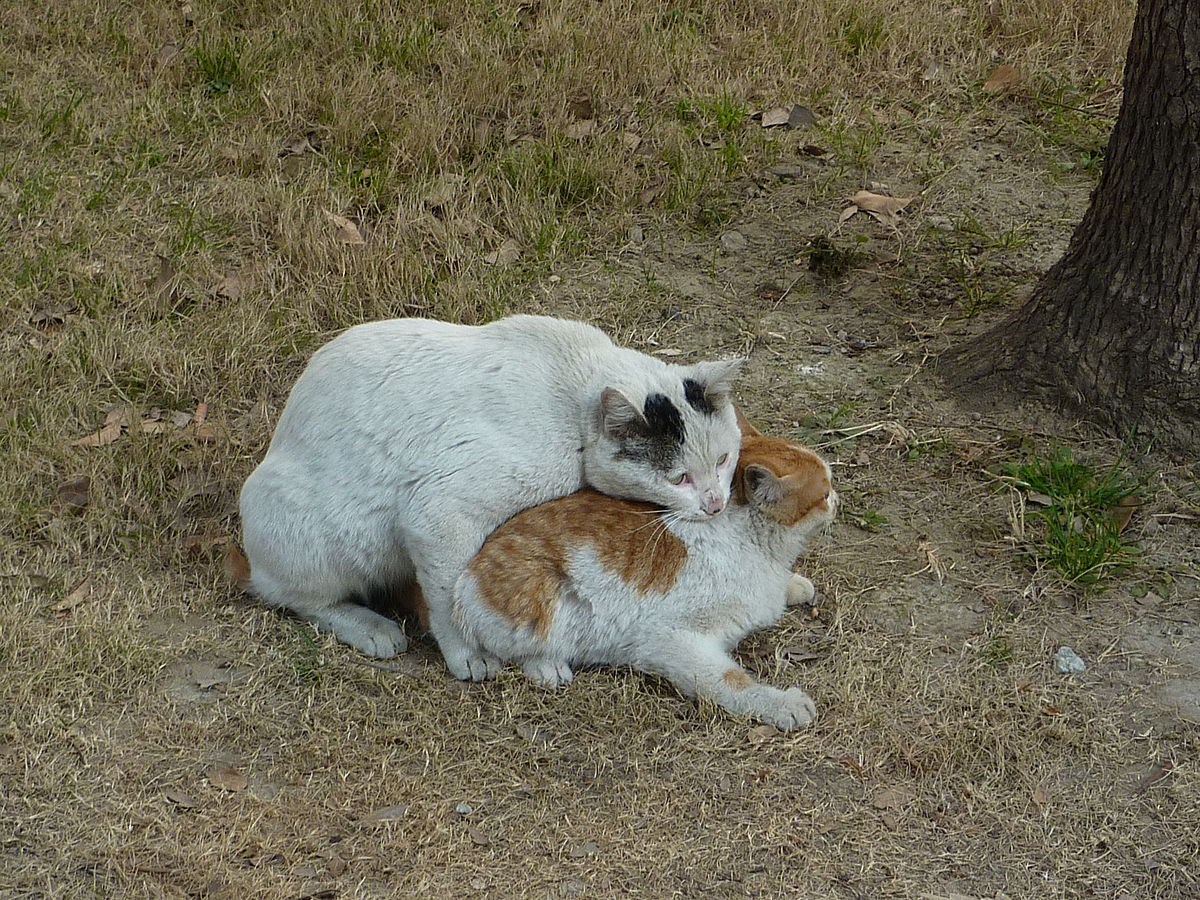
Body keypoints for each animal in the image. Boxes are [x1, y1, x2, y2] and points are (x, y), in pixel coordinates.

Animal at [234, 314, 739, 676]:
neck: (573, 392)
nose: (715, 503)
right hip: (317, 536)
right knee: (291, 595)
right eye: (678, 479)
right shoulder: (437, 514)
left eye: (722, 460)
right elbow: (448, 598)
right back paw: (369, 627)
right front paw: (468, 654)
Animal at [451, 415, 835, 734]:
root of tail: (470, 569)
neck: (749, 541)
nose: (838, 499)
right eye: (825, 493)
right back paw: (547, 667)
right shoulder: (667, 638)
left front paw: (795, 585)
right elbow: (729, 681)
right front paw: (781, 704)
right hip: (547, 600)